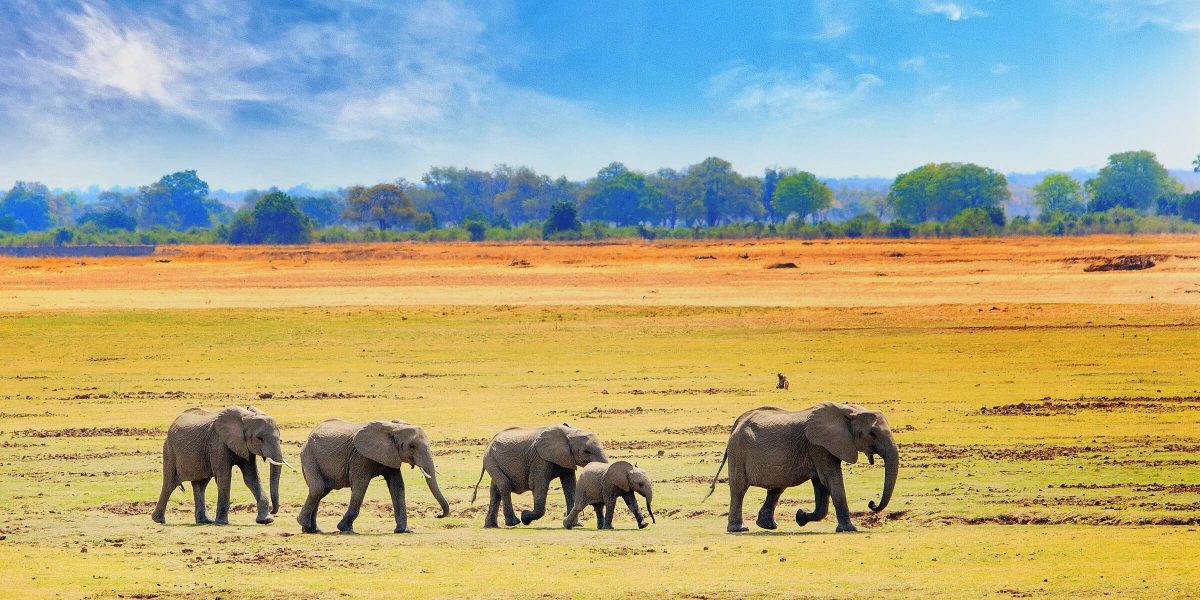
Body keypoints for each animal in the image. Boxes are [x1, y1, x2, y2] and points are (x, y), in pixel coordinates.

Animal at [151, 408, 286, 525]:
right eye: (259, 438)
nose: (273, 511)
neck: (247, 417)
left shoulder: (244, 447)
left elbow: (252, 479)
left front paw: (266, 520)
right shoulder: (218, 443)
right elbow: (224, 477)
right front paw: (222, 523)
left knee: (200, 485)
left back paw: (205, 521)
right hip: (169, 450)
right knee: (170, 484)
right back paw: (158, 520)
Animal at [295, 420, 451, 532]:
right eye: (411, 446)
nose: (437, 514)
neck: (393, 428)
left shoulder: (391, 455)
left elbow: (398, 486)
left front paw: (404, 531)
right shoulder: (360, 456)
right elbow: (360, 486)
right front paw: (344, 529)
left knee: (320, 491)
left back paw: (311, 529)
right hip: (309, 456)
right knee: (318, 489)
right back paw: (306, 525)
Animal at [468, 424, 609, 528]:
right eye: (586, 451)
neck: (569, 433)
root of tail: (490, 441)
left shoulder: (566, 458)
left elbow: (570, 487)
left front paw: (577, 525)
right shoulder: (540, 459)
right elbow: (539, 486)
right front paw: (525, 517)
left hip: (493, 460)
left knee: (495, 490)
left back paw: (491, 526)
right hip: (490, 459)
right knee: (504, 485)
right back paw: (514, 522)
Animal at [705, 403, 897, 535]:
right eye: (872, 434)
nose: (872, 504)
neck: (848, 410)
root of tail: (736, 424)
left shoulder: (821, 447)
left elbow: (821, 485)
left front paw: (800, 516)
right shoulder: (818, 446)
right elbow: (831, 479)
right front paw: (849, 529)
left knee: (777, 488)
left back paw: (768, 526)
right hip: (738, 452)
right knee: (739, 489)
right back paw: (739, 529)